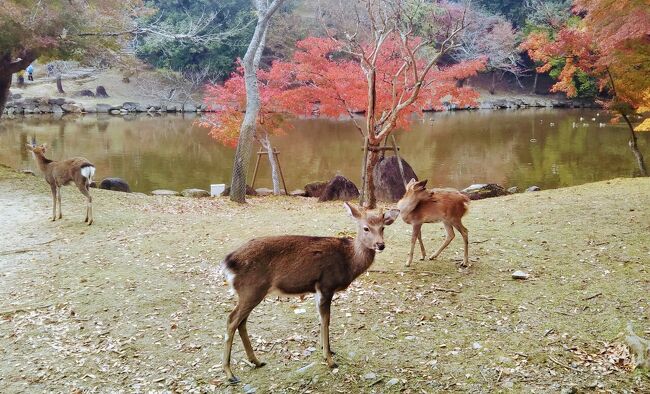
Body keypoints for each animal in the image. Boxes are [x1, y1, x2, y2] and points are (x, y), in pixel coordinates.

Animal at [220, 202, 398, 384]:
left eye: (383, 227)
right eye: (366, 228)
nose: (380, 245)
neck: (348, 262)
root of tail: (228, 263)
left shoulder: (317, 289)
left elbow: (320, 319)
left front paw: (327, 350)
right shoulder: (326, 284)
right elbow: (326, 320)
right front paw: (330, 360)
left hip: (250, 293)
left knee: (241, 322)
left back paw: (256, 361)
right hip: (251, 290)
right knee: (232, 320)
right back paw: (230, 373)